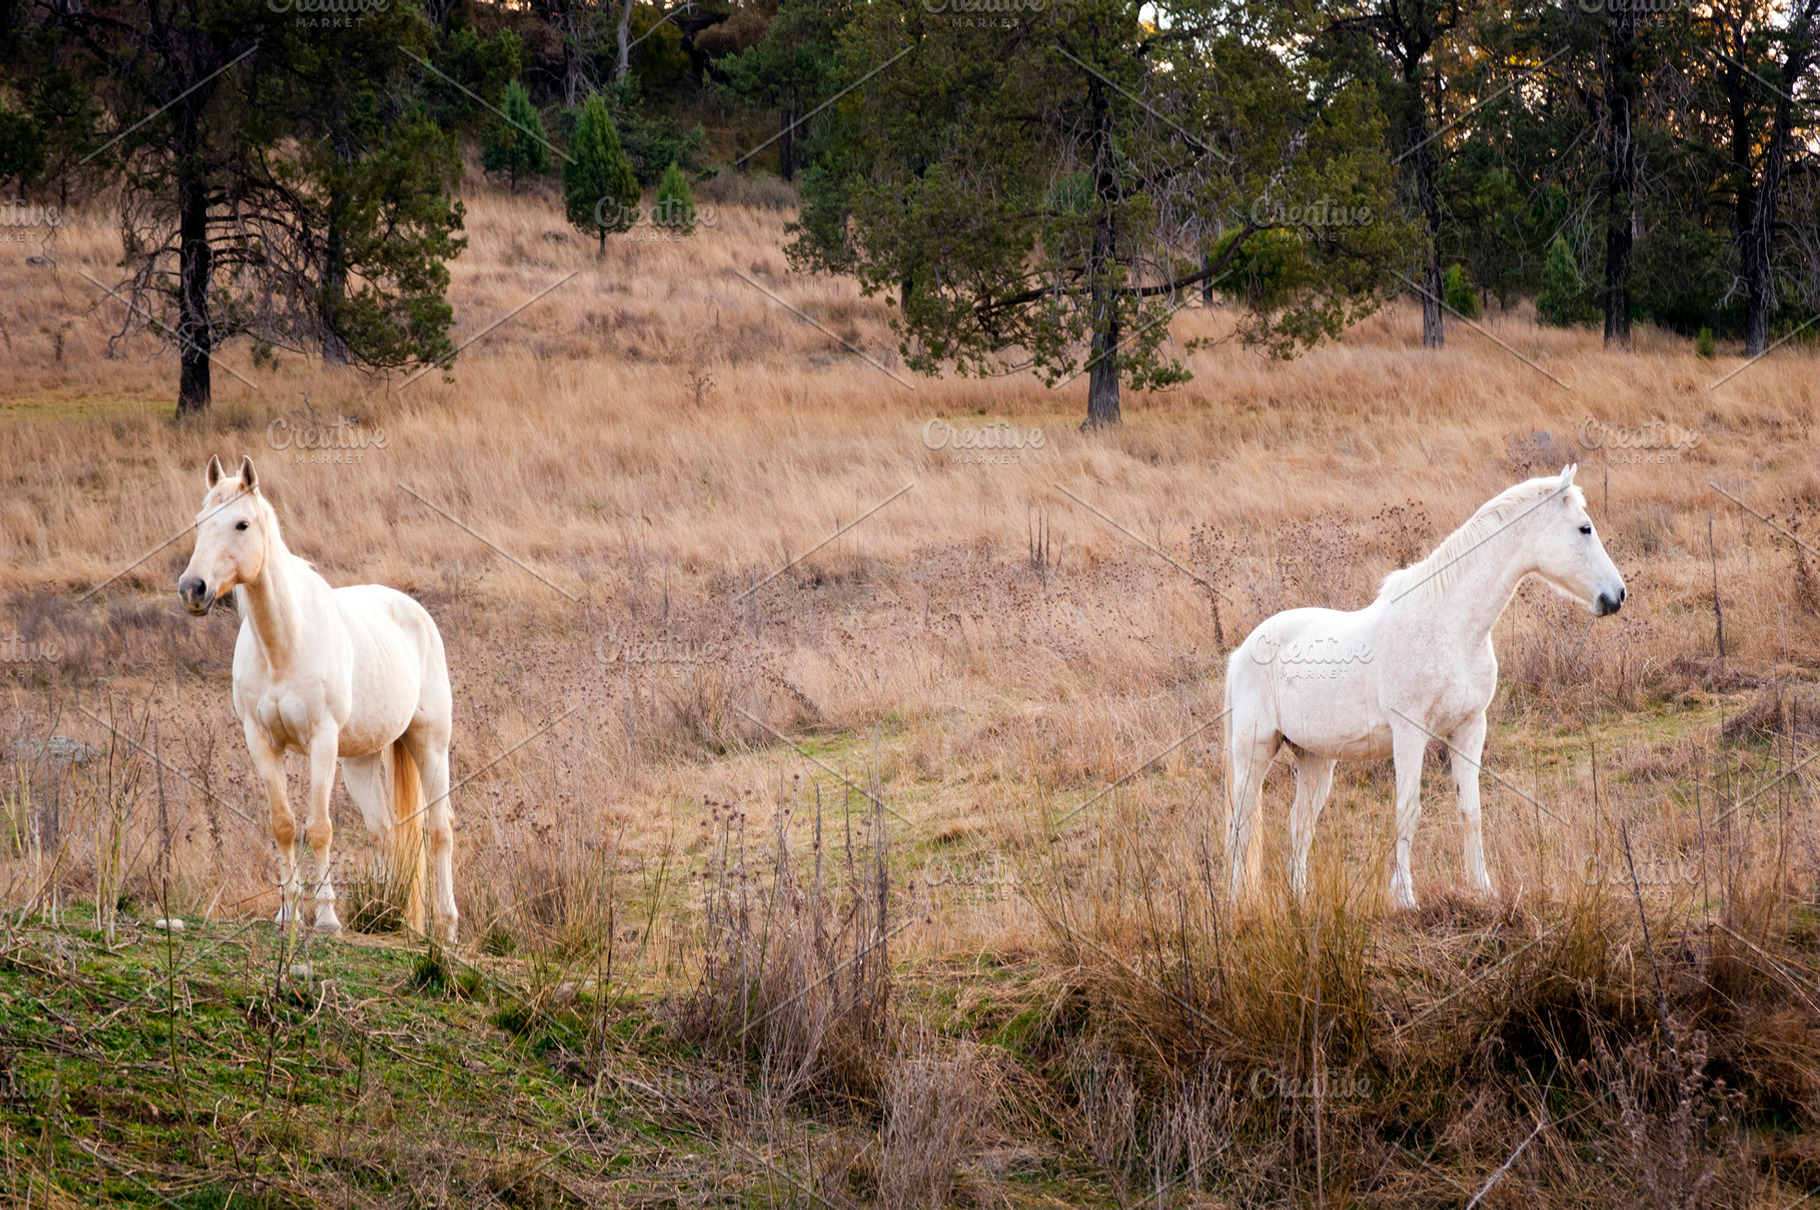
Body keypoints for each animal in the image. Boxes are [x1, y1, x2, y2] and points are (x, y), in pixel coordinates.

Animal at [179, 455, 459, 942]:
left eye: (241, 524)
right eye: (199, 521)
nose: (193, 588)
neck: (284, 647)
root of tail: (415, 612)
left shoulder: (321, 741)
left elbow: (321, 828)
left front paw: (326, 918)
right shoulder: (261, 741)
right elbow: (285, 825)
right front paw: (287, 913)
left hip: (430, 744)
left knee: (440, 830)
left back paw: (447, 926)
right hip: (360, 761)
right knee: (385, 830)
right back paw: (388, 915)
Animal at [1223, 465, 1625, 909]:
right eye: (1584, 528)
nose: (1617, 595)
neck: (1450, 626)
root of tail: (1242, 651)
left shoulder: (1469, 729)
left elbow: (1471, 811)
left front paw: (1482, 888)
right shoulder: (1410, 733)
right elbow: (1407, 813)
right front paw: (1405, 898)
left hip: (1314, 759)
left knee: (1299, 827)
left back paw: (1301, 902)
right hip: (1255, 750)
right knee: (1241, 826)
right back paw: (1236, 904)